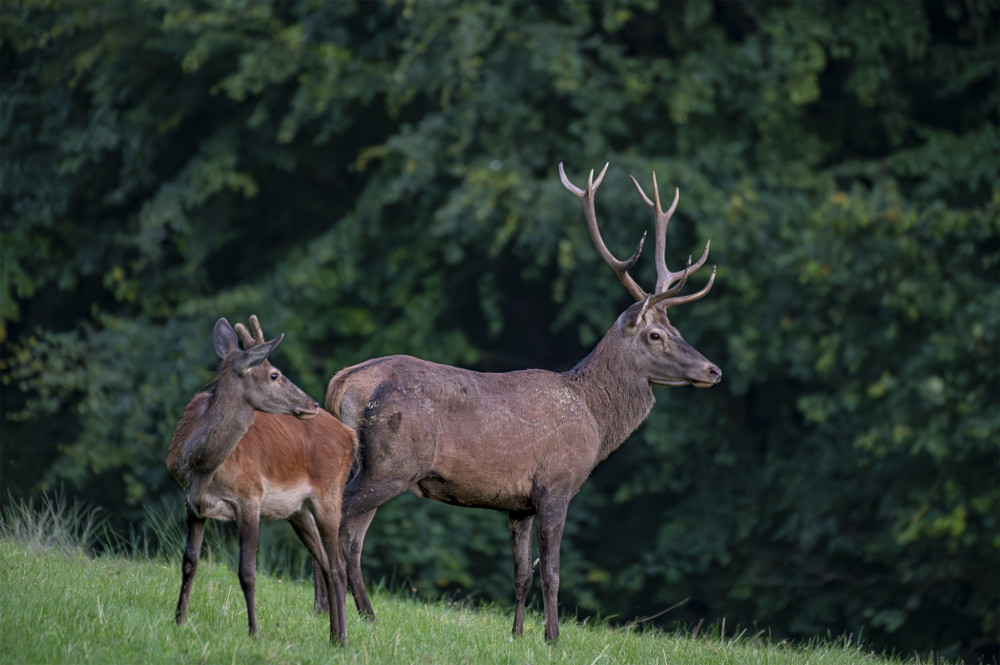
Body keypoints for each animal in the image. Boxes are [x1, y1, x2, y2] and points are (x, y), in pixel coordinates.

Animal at [169, 316, 360, 644]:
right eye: (274, 374)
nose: (312, 403)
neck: (202, 465)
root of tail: (350, 436)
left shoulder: (250, 497)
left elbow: (247, 571)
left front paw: (254, 632)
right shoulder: (193, 503)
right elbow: (189, 562)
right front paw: (179, 620)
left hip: (329, 493)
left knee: (338, 566)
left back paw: (344, 639)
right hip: (298, 511)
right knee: (324, 564)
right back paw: (334, 635)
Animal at [320, 162, 720, 640]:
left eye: (676, 329)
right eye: (655, 334)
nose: (713, 370)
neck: (595, 421)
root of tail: (342, 382)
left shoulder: (517, 503)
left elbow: (521, 573)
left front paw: (517, 634)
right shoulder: (557, 484)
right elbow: (552, 571)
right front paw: (552, 638)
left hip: (372, 465)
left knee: (350, 535)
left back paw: (364, 615)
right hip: (392, 463)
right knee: (336, 521)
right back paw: (333, 611)